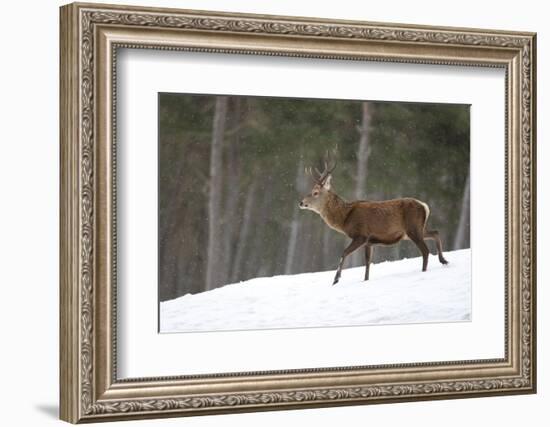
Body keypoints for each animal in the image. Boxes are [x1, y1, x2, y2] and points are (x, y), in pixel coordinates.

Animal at [302, 155, 448, 286]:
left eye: (315, 192)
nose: (301, 202)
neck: (345, 219)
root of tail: (425, 206)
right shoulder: (369, 242)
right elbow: (367, 264)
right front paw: (365, 280)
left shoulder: (361, 235)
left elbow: (344, 252)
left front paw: (336, 279)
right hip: (416, 229)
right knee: (435, 232)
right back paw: (444, 260)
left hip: (413, 228)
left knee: (425, 250)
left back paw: (425, 271)